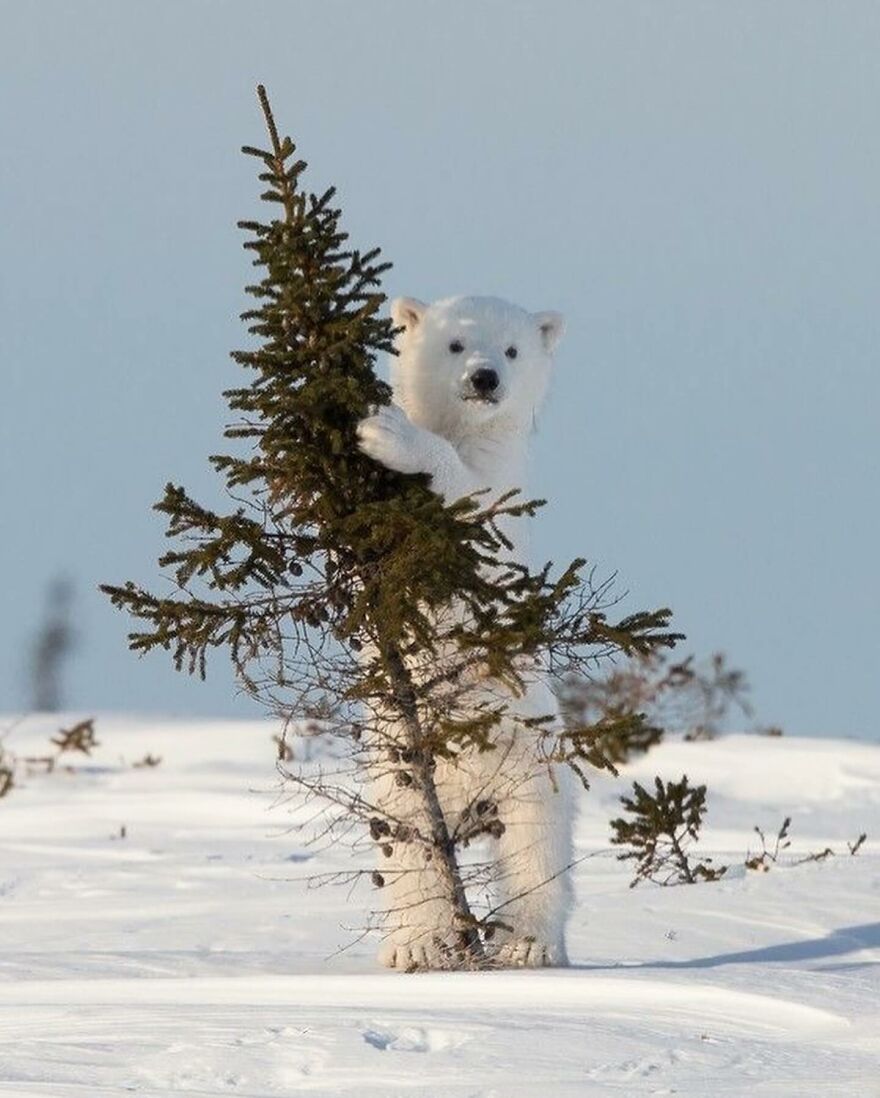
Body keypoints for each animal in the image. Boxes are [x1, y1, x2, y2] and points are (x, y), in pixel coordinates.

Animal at [357, 295, 574, 969]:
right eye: (454, 344)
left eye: (512, 350)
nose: (484, 379)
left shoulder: (507, 501)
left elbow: (477, 518)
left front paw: (388, 433)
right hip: (396, 772)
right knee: (408, 850)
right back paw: (415, 945)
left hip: (532, 764)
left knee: (535, 853)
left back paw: (526, 943)